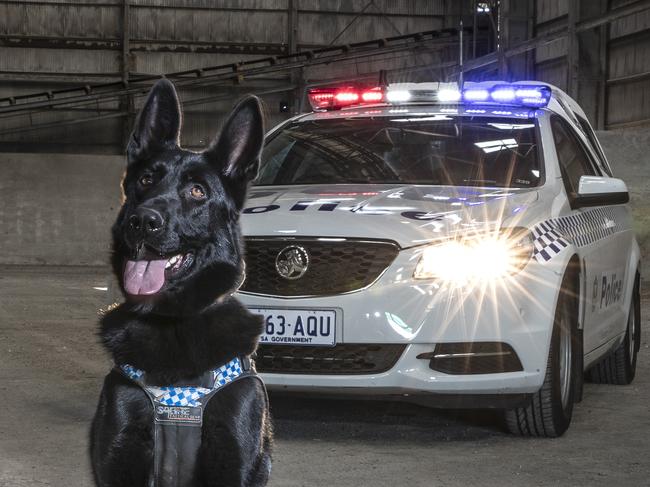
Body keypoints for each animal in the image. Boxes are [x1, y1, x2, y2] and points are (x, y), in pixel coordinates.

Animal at [89, 78, 270, 486]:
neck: (172, 322)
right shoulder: (119, 455)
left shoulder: (231, 459)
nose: (142, 221)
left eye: (197, 191)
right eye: (145, 180)